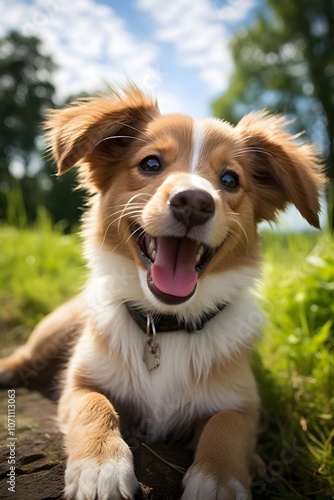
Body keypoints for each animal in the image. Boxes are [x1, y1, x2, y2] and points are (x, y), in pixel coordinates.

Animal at [0, 84, 324, 498]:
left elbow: (226, 427)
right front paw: (100, 468)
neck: (165, 323)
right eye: (151, 164)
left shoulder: (243, 405)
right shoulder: (79, 384)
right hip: (55, 327)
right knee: (24, 356)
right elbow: (95, 406)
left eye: (230, 180)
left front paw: (218, 481)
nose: (194, 202)